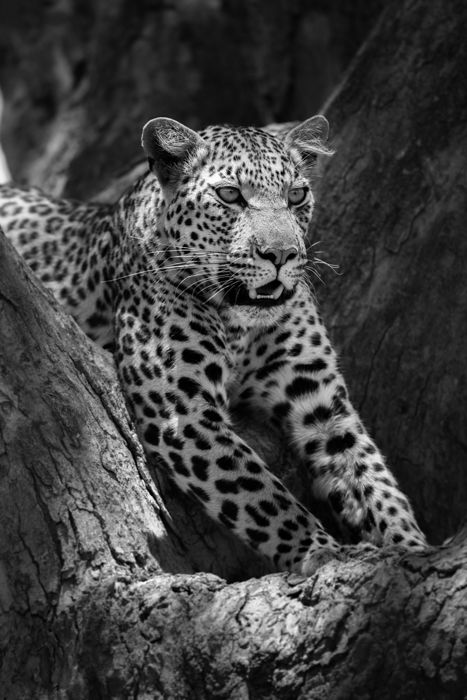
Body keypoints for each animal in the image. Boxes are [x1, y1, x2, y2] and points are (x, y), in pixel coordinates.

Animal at [0, 115, 428, 576]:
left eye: (296, 196)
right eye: (230, 195)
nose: (282, 254)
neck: (240, 325)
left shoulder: (325, 407)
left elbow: (372, 479)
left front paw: (412, 552)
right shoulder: (185, 412)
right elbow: (262, 495)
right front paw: (322, 551)